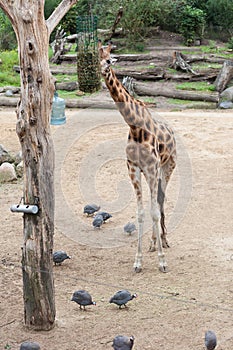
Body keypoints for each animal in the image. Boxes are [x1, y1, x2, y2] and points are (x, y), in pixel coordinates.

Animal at [97, 39, 176, 272]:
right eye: (97, 57)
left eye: (109, 60)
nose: (102, 70)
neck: (134, 125)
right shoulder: (133, 168)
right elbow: (140, 213)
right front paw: (138, 261)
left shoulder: (151, 168)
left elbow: (153, 210)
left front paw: (162, 262)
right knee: (157, 201)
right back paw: (154, 242)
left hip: (167, 167)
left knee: (160, 200)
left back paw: (163, 240)